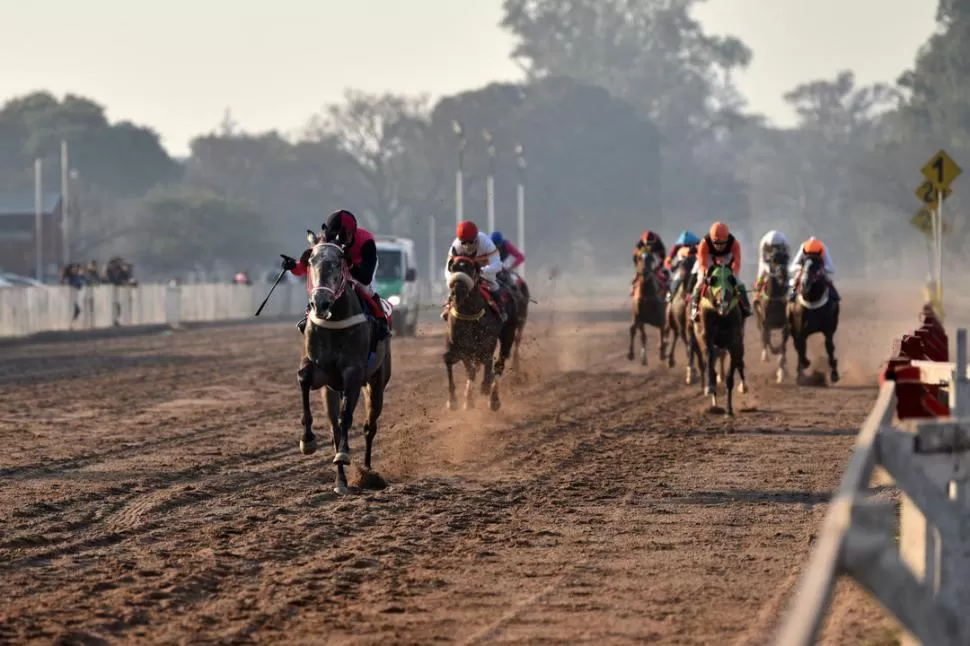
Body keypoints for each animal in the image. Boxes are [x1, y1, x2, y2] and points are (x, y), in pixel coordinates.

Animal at [444, 256, 520, 410]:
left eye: (471, 269)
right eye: (453, 267)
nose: (457, 293)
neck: (469, 315)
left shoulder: (487, 341)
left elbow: (487, 362)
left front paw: (485, 386)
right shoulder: (460, 346)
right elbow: (467, 368)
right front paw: (456, 401)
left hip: (509, 333)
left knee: (499, 365)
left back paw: (494, 399)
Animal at [688, 266, 748, 418]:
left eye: (731, 279)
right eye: (713, 279)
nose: (723, 303)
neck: (721, 315)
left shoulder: (734, 342)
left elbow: (730, 376)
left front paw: (729, 409)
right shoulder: (706, 337)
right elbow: (710, 363)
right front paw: (710, 387)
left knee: (740, 363)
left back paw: (744, 386)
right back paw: (714, 402)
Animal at [752, 249, 792, 384]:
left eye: (786, 259)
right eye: (774, 260)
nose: (783, 275)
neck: (775, 300)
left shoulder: (786, 325)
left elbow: (783, 347)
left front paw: (781, 373)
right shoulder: (765, 323)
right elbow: (767, 339)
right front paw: (768, 355)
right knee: (765, 337)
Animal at [784, 253, 836, 384]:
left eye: (817, 265)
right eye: (802, 262)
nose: (805, 283)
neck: (812, 299)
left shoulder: (828, 329)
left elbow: (830, 347)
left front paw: (834, 374)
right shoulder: (800, 329)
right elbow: (801, 348)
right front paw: (803, 368)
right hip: (792, 327)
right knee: (798, 346)